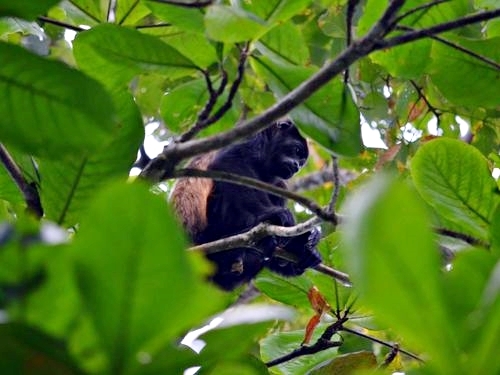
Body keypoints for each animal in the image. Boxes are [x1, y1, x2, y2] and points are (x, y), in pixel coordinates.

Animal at [171, 120, 320, 290]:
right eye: (296, 150)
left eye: (302, 162)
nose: (296, 166)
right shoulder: (251, 138)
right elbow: (231, 164)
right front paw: (272, 214)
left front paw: (304, 248)